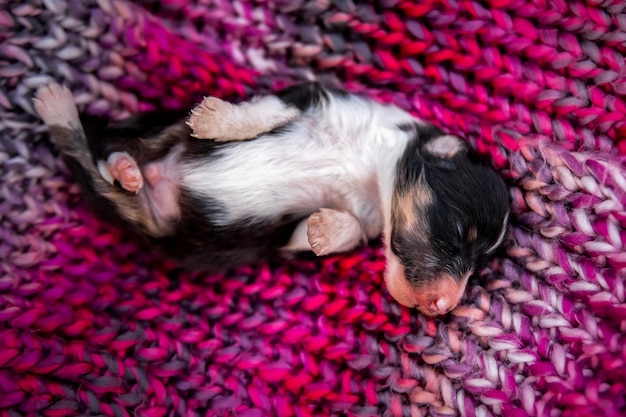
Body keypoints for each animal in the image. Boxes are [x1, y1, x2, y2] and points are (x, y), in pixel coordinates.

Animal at [33, 81, 508, 316]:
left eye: (479, 264)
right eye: (459, 233)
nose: (445, 307)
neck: (369, 168)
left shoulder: (296, 232)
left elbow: (341, 230)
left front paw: (325, 230)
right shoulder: (307, 98)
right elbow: (267, 111)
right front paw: (216, 119)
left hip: (152, 219)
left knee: (97, 172)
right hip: (150, 129)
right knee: (97, 150)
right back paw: (75, 122)